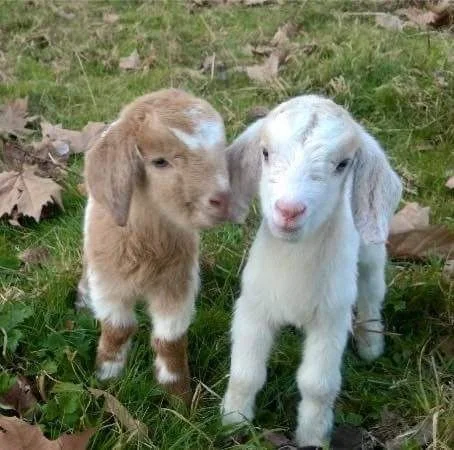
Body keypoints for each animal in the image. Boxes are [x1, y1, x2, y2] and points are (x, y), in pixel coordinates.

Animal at [78, 89, 231, 404]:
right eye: (159, 162)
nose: (223, 200)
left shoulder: (176, 286)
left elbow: (170, 340)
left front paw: (179, 397)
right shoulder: (110, 284)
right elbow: (118, 330)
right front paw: (107, 376)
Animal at [221, 95, 402, 447]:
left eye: (343, 164)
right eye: (265, 153)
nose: (289, 210)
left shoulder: (331, 319)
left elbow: (318, 386)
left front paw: (312, 437)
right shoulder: (252, 308)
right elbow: (246, 373)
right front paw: (233, 421)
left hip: (371, 251)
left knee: (372, 291)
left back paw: (371, 344)